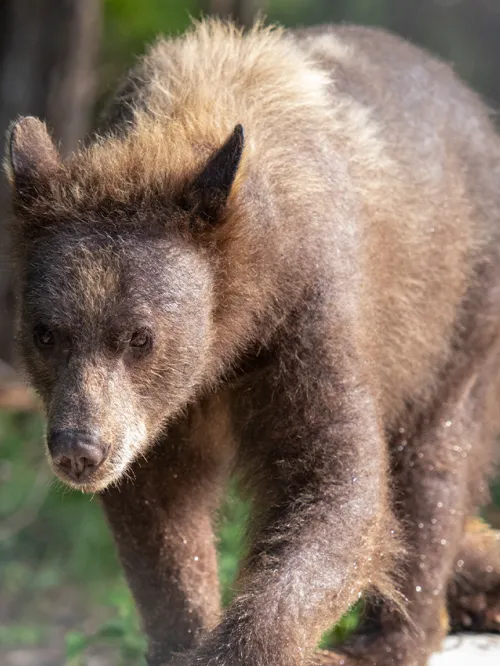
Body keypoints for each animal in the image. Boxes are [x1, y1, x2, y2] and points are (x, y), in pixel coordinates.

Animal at [3, 16, 500, 664]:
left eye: (139, 337)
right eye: (46, 333)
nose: (79, 449)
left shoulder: (309, 314)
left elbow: (336, 483)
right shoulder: (161, 413)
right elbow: (161, 508)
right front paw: (182, 633)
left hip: (459, 311)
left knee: (435, 463)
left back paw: (389, 637)